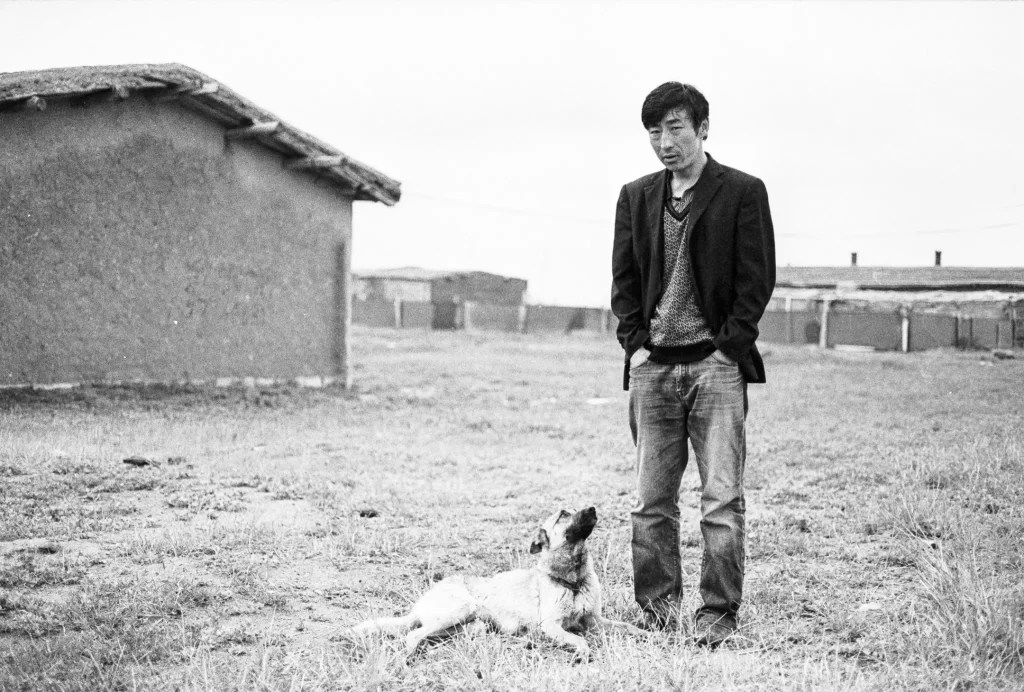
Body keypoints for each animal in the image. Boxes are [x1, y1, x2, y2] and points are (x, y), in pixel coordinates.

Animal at [348, 507, 643, 659]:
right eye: (562, 515)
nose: (592, 508)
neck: (573, 581)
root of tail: (419, 606)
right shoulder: (551, 626)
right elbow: (579, 639)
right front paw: (583, 651)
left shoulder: (595, 621)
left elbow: (627, 627)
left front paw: (647, 633)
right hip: (461, 607)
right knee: (412, 635)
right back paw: (409, 656)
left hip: (472, 626)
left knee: (429, 634)